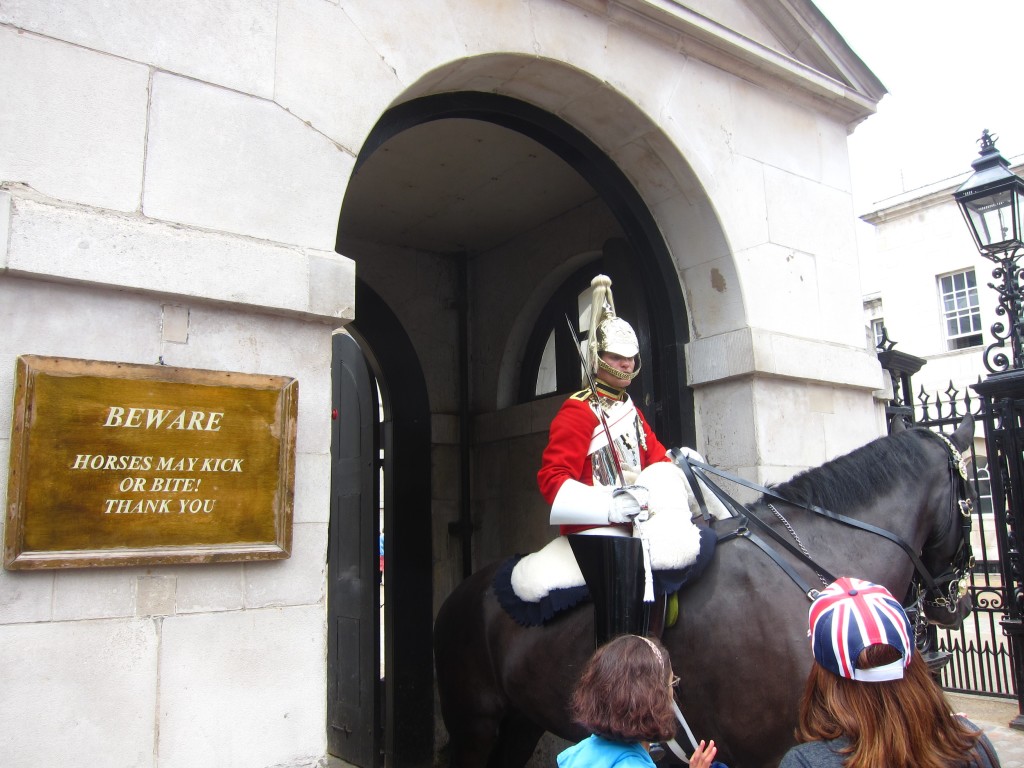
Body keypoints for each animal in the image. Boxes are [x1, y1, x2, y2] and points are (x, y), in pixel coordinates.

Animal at [434, 417, 974, 765]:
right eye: (973, 493)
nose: (957, 602)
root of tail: (462, 593)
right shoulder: (763, 751)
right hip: (475, 724)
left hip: (521, 721)